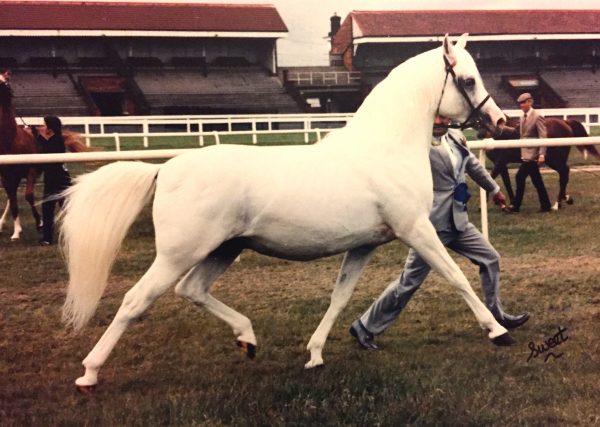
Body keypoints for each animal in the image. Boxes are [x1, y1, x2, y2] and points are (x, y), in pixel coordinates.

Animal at [0, 80, 87, 241]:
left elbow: (28, 196)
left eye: (4, 82)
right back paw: (3, 223)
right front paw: (16, 232)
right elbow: (14, 202)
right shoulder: (6, 176)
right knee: (10, 198)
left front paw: (39, 223)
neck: (12, 141)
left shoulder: (32, 170)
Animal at [61, 35, 508, 392]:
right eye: (469, 80)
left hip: (224, 249)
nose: (499, 120)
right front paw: (498, 330)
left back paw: (247, 339)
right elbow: (456, 276)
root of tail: (165, 168)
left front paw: (314, 354)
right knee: (136, 301)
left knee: (192, 290)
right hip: (178, 254)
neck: (384, 148)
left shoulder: (364, 245)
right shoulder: (415, 229)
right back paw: (88, 374)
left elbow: (340, 297)